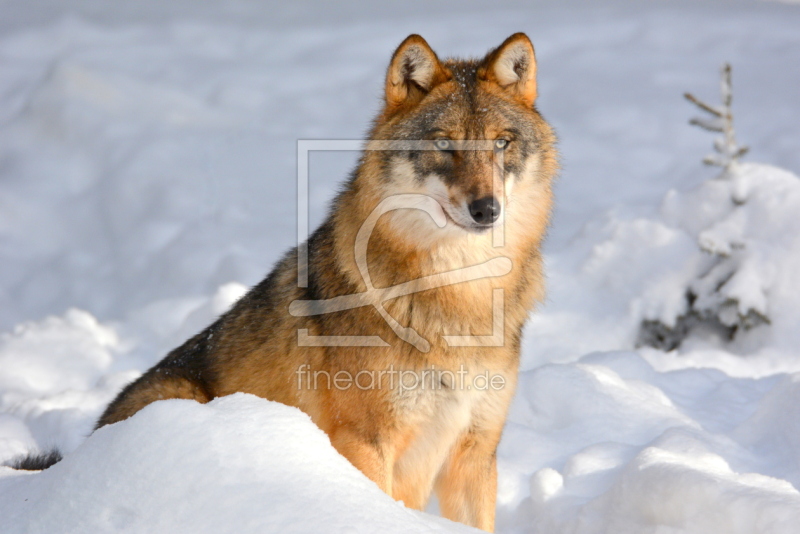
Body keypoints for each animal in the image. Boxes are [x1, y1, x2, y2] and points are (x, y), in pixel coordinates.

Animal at [14, 34, 564, 534]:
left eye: (501, 142)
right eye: (444, 145)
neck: (458, 296)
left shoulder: (475, 452)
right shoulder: (366, 443)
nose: (486, 209)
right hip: (179, 396)